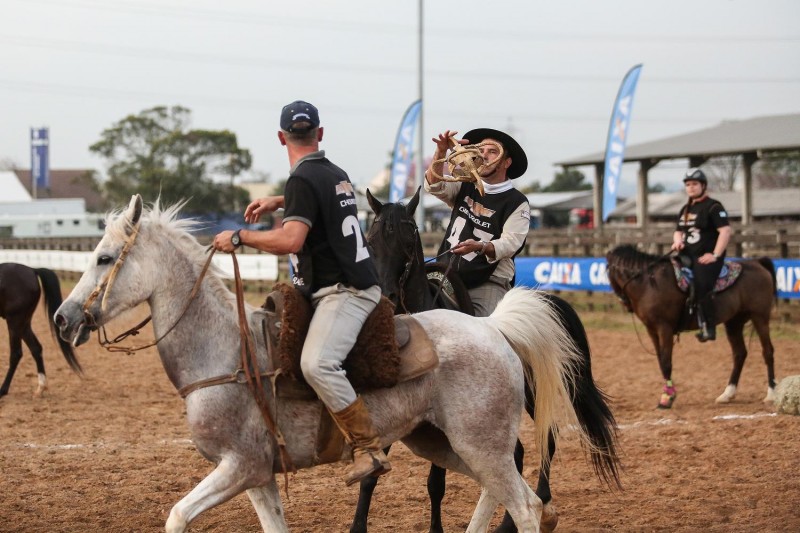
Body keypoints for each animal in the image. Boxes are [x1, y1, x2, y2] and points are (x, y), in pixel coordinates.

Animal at [0, 262, 82, 394]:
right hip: (23, 323)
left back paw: (3, 390)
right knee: (36, 348)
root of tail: (32, 270)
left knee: (16, 354)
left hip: (15, 321)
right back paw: (41, 386)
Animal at [53, 195, 596, 532]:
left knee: (524, 503)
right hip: (443, 443)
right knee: (505, 496)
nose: (62, 317)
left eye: (104, 258)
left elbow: (177, 516)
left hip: (480, 444)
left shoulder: (238, 466)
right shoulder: (258, 475)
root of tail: (493, 328)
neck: (225, 351)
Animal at [350, 188, 624, 532]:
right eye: (371, 240)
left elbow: (435, 483)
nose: (386, 295)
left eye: (408, 236)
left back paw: (539, 511)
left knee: (545, 440)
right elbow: (371, 477)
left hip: (533, 394)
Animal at [608, 243, 776, 410]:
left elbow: (666, 362)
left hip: (760, 317)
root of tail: (757, 262)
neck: (650, 283)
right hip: (734, 322)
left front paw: (667, 398)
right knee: (739, 354)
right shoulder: (652, 330)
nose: (625, 303)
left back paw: (771, 394)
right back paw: (727, 394)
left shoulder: (664, 328)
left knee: (767, 351)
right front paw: (669, 394)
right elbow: (661, 361)